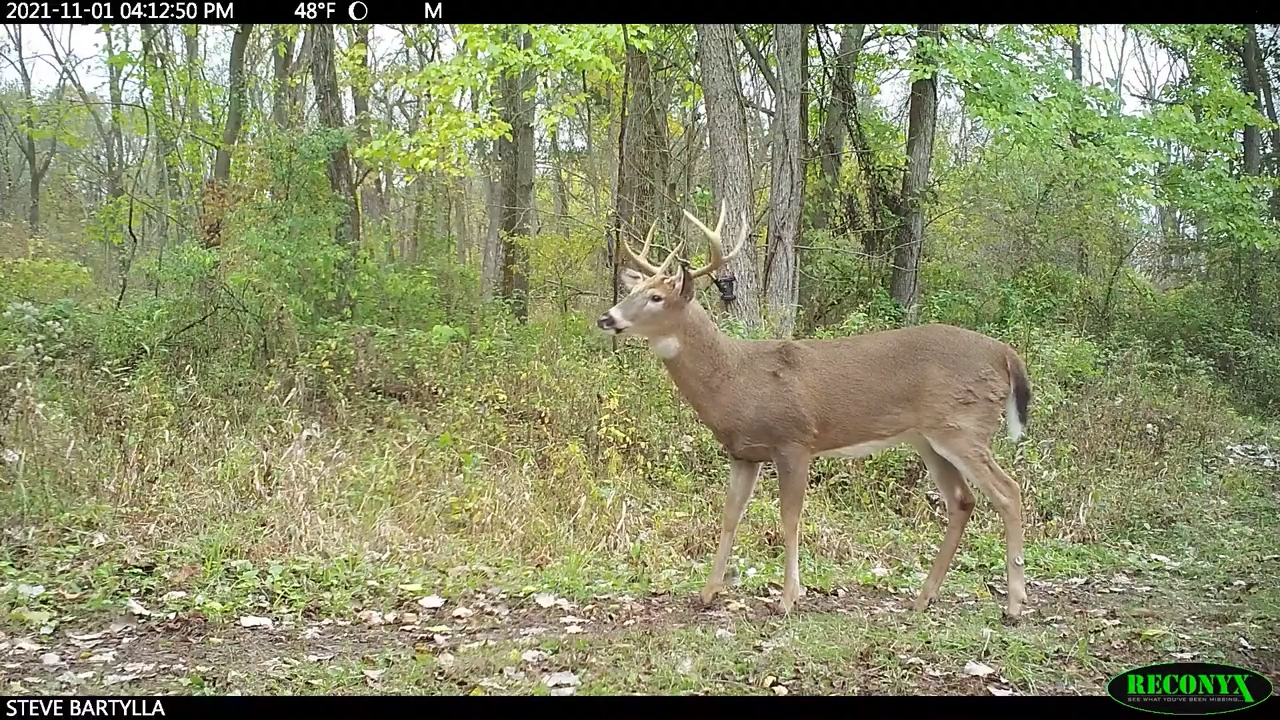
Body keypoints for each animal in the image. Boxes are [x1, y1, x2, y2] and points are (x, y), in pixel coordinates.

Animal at [596, 201, 1034, 622]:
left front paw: (788, 598)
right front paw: (707, 593)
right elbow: (730, 515)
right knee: (962, 501)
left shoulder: (794, 440)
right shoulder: (743, 453)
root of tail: (1007, 355)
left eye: (657, 297)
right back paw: (923, 598)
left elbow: (790, 517)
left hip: (963, 425)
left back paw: (1013, 605)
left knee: (1009, 491)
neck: (734, 378)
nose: (607, 317)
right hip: (928, 438)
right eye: (636, 290)